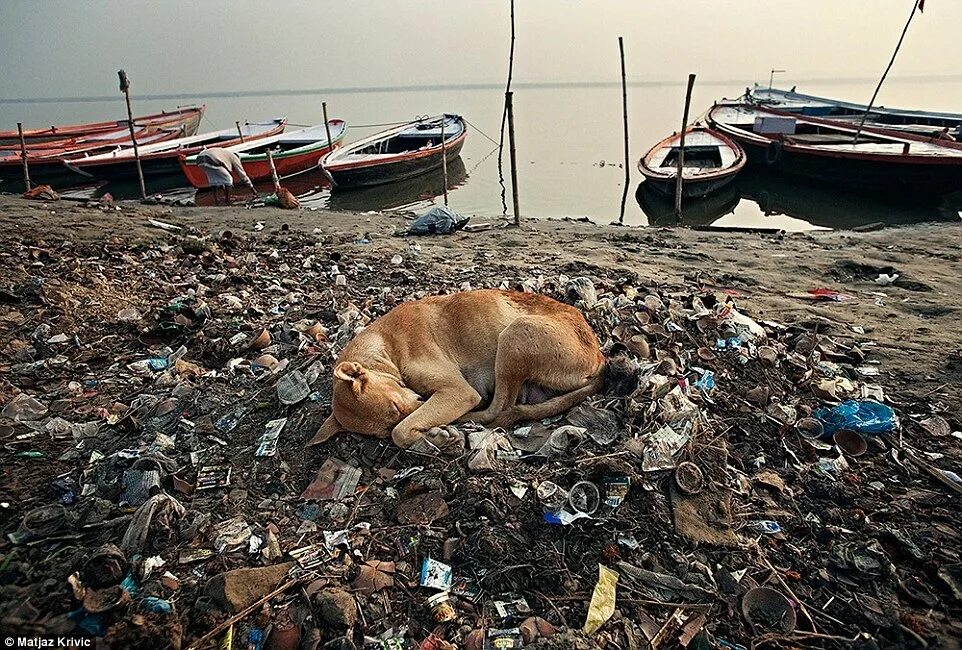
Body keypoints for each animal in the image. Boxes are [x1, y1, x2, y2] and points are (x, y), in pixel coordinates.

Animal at [304, 288, 628, 446]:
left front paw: (432, 434)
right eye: (379, 433)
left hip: (514, 335)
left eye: (395, 407)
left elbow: (402, 431)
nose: (423, 403)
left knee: (497, 410)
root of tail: (600, 357)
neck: (384, 345)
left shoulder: (458, 392)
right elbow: (401, 432)